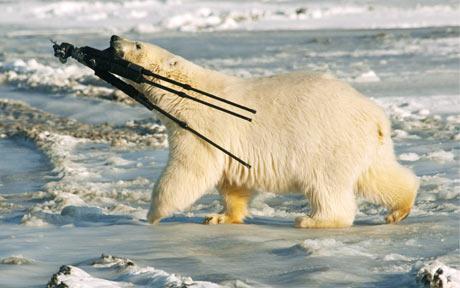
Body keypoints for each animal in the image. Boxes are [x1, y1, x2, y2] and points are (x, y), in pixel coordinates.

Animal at [109, 34, 418, 227]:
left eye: (138, 44)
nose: (113, 38)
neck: (186, 92)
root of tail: (375, 117)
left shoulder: (203, 125)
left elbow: (191, 168)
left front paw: (152, 214)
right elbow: (232, 182)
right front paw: (219, 216)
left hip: (329, 142)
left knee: (326, 185)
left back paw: (312, 220)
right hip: (367, 145)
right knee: (377, 175)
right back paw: (399, 209)